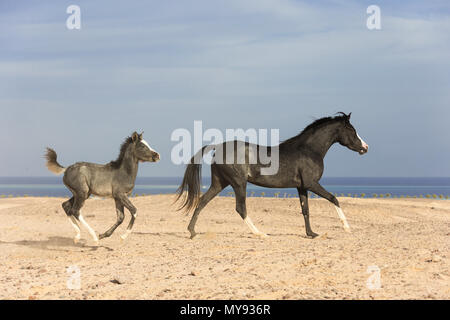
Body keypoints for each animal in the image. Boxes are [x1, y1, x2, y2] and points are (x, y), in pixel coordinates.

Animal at [176, 114, 370, 239]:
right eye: (352, 130)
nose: (365, 147)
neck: (309, 150)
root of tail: (218, 146)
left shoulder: (301, 187)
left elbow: (305, 210)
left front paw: (311, 234)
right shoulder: (312, 183)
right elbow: (333, 198)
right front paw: (347, 228)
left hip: (220, 183)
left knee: (202, 201)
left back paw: (192, 232)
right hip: (238, 183)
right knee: (240, 208)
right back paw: (260, 233)